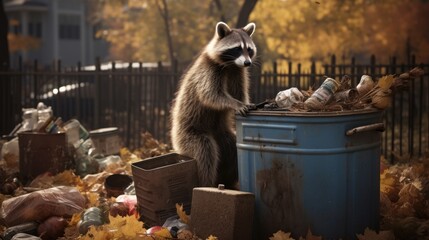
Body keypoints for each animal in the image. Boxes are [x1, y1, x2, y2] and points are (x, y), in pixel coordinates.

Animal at [171, 21, 256, 188]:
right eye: (237, 48)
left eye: (249, 49)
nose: (247, 63)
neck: (231, 64)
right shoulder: (208, 71)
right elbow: (211, 95)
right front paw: (235, 104)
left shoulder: (238, 73)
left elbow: (240, 93)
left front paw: (243, 101)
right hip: (189, 135)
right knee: (205, 153)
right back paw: (206, 184)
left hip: (224, 136)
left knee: (233, 149)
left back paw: (229, 183)